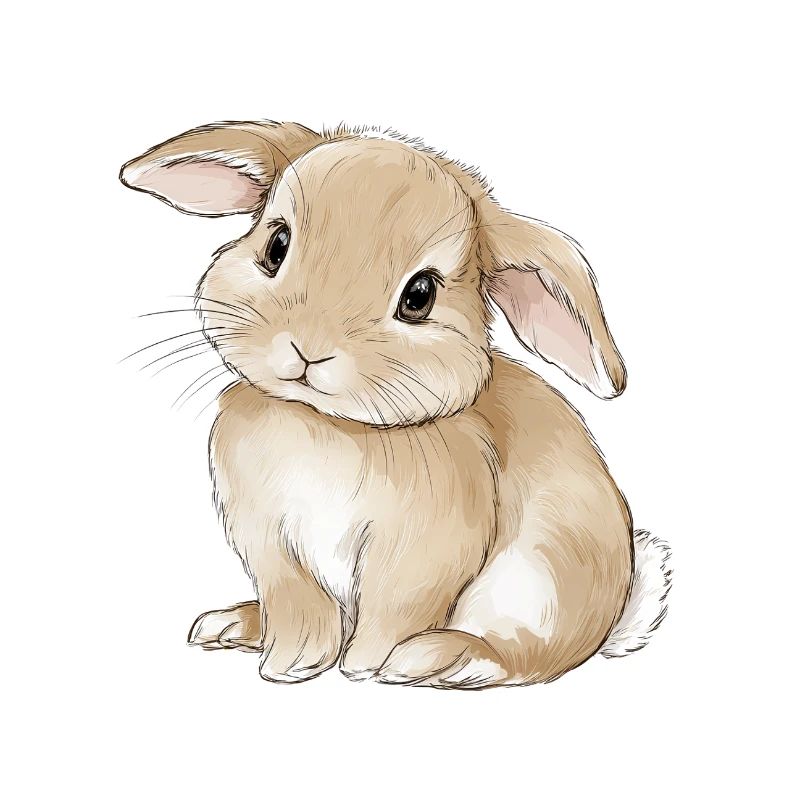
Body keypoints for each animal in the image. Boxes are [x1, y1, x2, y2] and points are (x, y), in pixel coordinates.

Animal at [119, 120, 671, 687]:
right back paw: (232, 624)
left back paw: (432, 657)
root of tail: (612, 617)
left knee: (521, 658)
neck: (329, 424)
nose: (308, 348)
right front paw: (290, 664)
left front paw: (364, 667)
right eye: (276, 244)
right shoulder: (272, 545)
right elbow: (299, 603)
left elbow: (395, 608)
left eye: (420, 296)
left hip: (537, 585)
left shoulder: (423, 551)